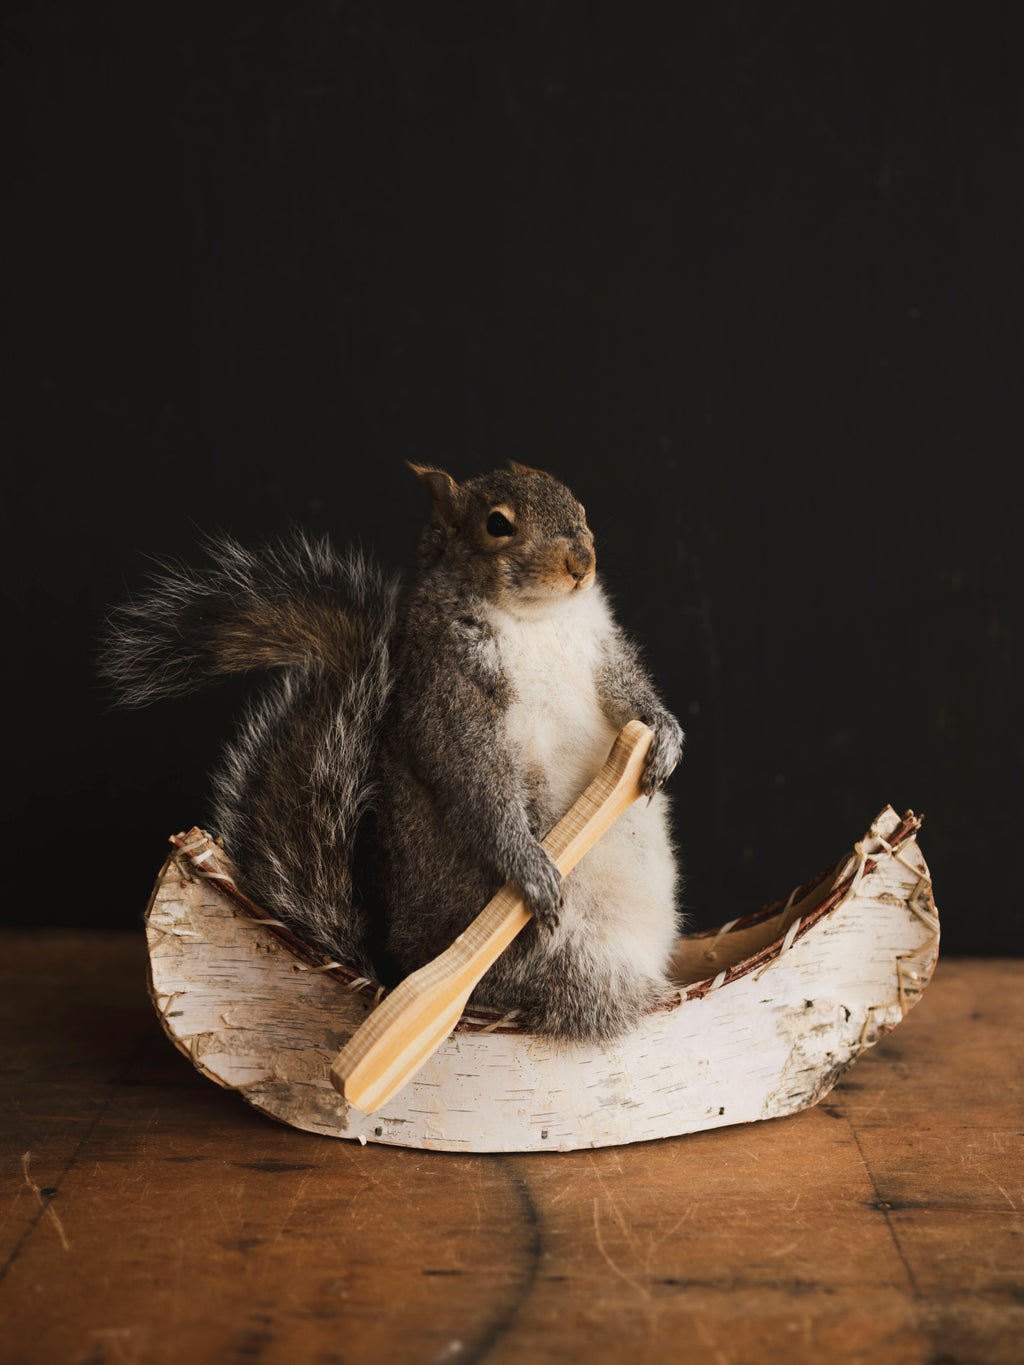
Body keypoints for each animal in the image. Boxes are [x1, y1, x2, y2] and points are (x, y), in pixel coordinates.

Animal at [101, 463, 685, 1041]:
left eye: (580, 508)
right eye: (498, 524)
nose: (582, 564)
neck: (541, 620)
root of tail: (393, 973)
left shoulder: (602, 651)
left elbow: (628, 693)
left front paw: (665, 736)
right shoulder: (447, 690)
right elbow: (475, 780)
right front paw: (530, 867)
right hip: (549, 956)